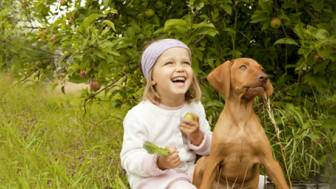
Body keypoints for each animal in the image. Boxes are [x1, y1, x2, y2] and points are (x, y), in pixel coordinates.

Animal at [194, 58, 288, 189]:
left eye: (261, 69)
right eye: (243, 67)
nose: (264, 77)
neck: (241, 116)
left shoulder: (270, 161)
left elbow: (283, 184)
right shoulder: (213, 160)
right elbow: (205, 184)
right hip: (202, 162)